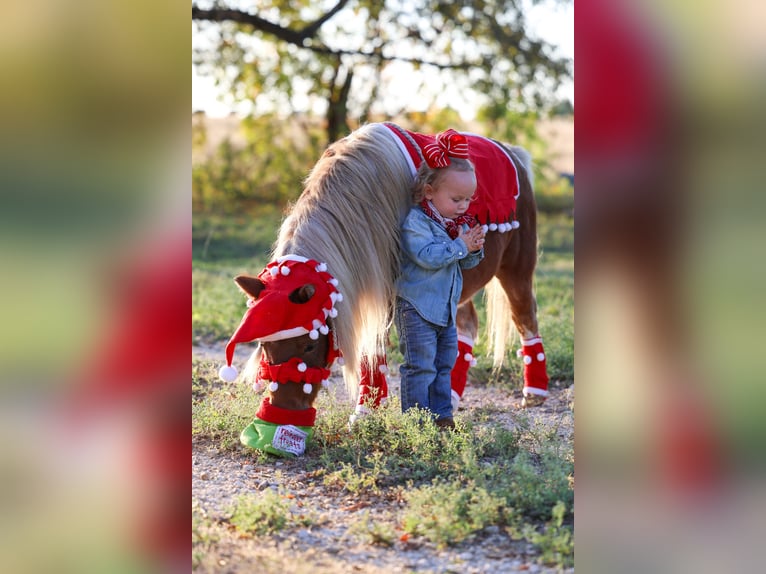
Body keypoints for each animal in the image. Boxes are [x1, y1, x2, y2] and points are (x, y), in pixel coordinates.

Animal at [219, 122, 549, 457]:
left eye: (309, 346)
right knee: (467, 324)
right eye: (265, 346)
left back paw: (534, 392)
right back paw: (453, 397)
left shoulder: (389, 296)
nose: (282, 413)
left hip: (517, 267)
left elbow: (372, 347)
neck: (363, 204)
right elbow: (372, 351)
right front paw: (368, 412)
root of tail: (513, 153)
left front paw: (366, 411)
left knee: (525, 317)